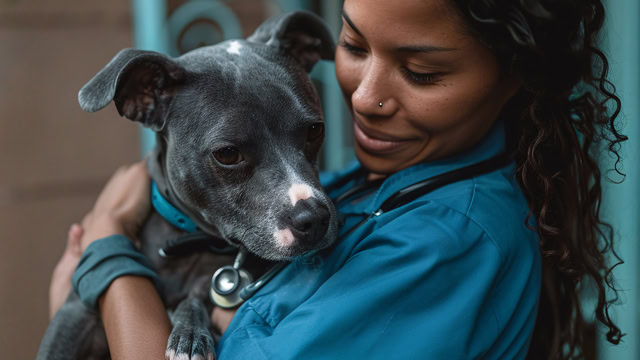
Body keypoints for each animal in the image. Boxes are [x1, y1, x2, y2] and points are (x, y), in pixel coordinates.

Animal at [38, 11, 340, 360]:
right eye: (227, 153)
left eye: (315, 130)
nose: (315, 218)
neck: (190, 244)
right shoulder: (75, 315)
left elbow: (196, 298)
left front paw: (189, 330)